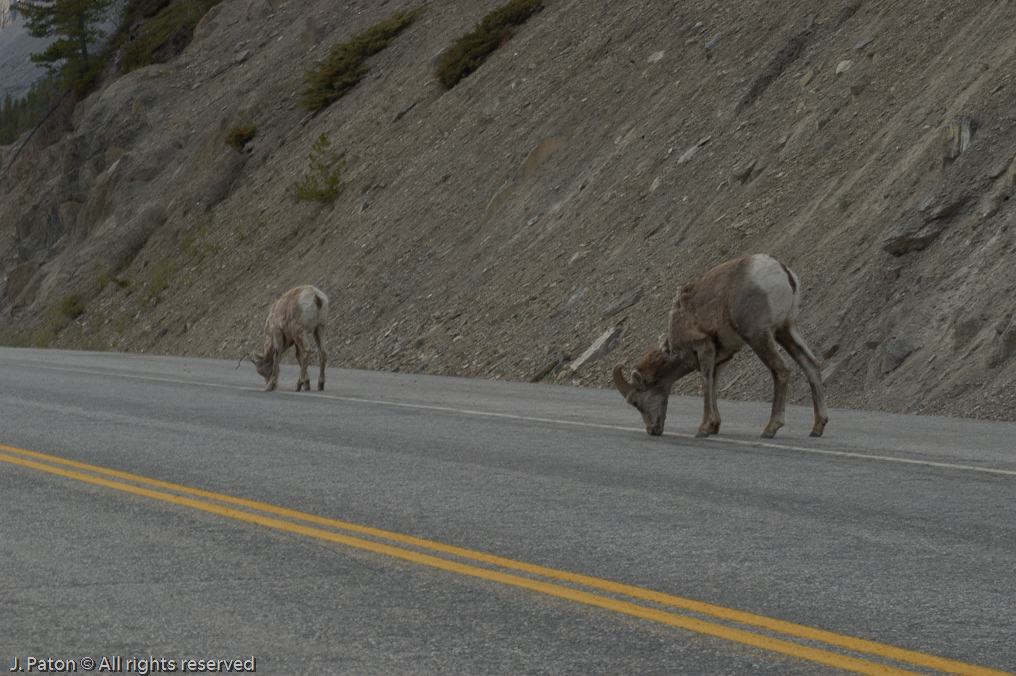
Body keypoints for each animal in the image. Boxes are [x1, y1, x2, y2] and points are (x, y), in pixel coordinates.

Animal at [609, 253, 824, 437]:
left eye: (635, 402)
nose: (652, 430)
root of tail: (783, 271)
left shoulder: (703, 347)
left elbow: (705, 383)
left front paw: (703, 428)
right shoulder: (722, 357)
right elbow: (714, 383)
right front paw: (714, 426)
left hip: (758, 335)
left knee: (781, 370)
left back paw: (770, 429)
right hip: (785, 329)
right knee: (811, 365)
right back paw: (817, 428)